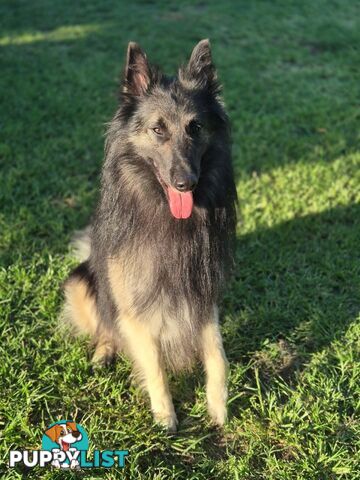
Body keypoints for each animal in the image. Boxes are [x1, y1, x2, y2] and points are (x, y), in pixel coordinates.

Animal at [63, 39, 238, 434]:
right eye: (158, 130)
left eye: (196, 127)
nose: (185, 182)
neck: (170, 220)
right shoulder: (134, 308)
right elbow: (155, 365)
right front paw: (165, 417)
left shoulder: (201, 295)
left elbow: (218, 355)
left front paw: (217, 408)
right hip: (80, 283)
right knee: (104, 326)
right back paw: (103, 353)